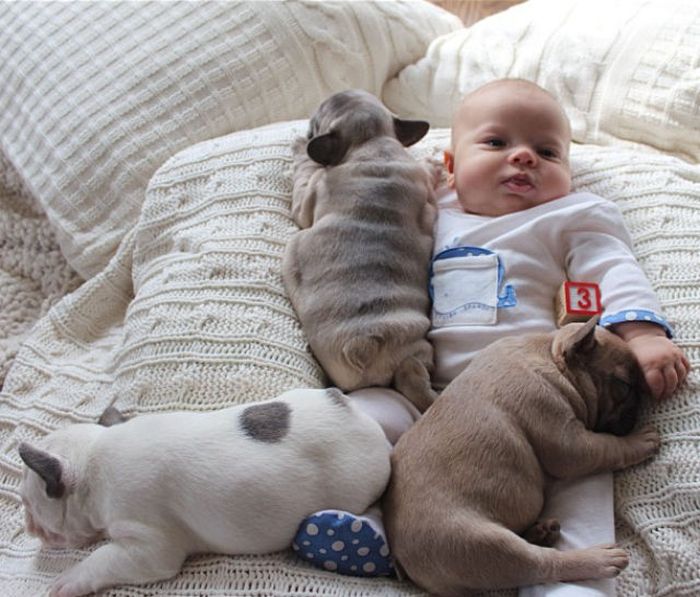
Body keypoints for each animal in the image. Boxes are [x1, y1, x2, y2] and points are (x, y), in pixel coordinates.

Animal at [20, 386, 394, 596]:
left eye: (27, 504)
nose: (28, 527)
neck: (94, 462)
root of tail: (361, 420)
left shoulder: (149, 546)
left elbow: (103, 557)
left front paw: (70, 579)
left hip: (354, 485)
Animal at [284, 89, 438, 414]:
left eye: (314, 124)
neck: (371, 141)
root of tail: (366, 343)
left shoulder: (309, 194)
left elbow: (304, 174)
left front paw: (300, 147)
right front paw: (437, 166)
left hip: (292, 249)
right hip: (418, 348)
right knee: (416, 371)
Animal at [382, 314, 660, 592]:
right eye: (624, 386)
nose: (638, 409)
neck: (551, 355)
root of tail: (401, 561)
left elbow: (431, 398)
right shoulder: (569, 443)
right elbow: (608, 447)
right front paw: (639, 441)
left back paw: (542, 532)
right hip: (485, 546)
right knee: (542, 565)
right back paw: (598, 559)